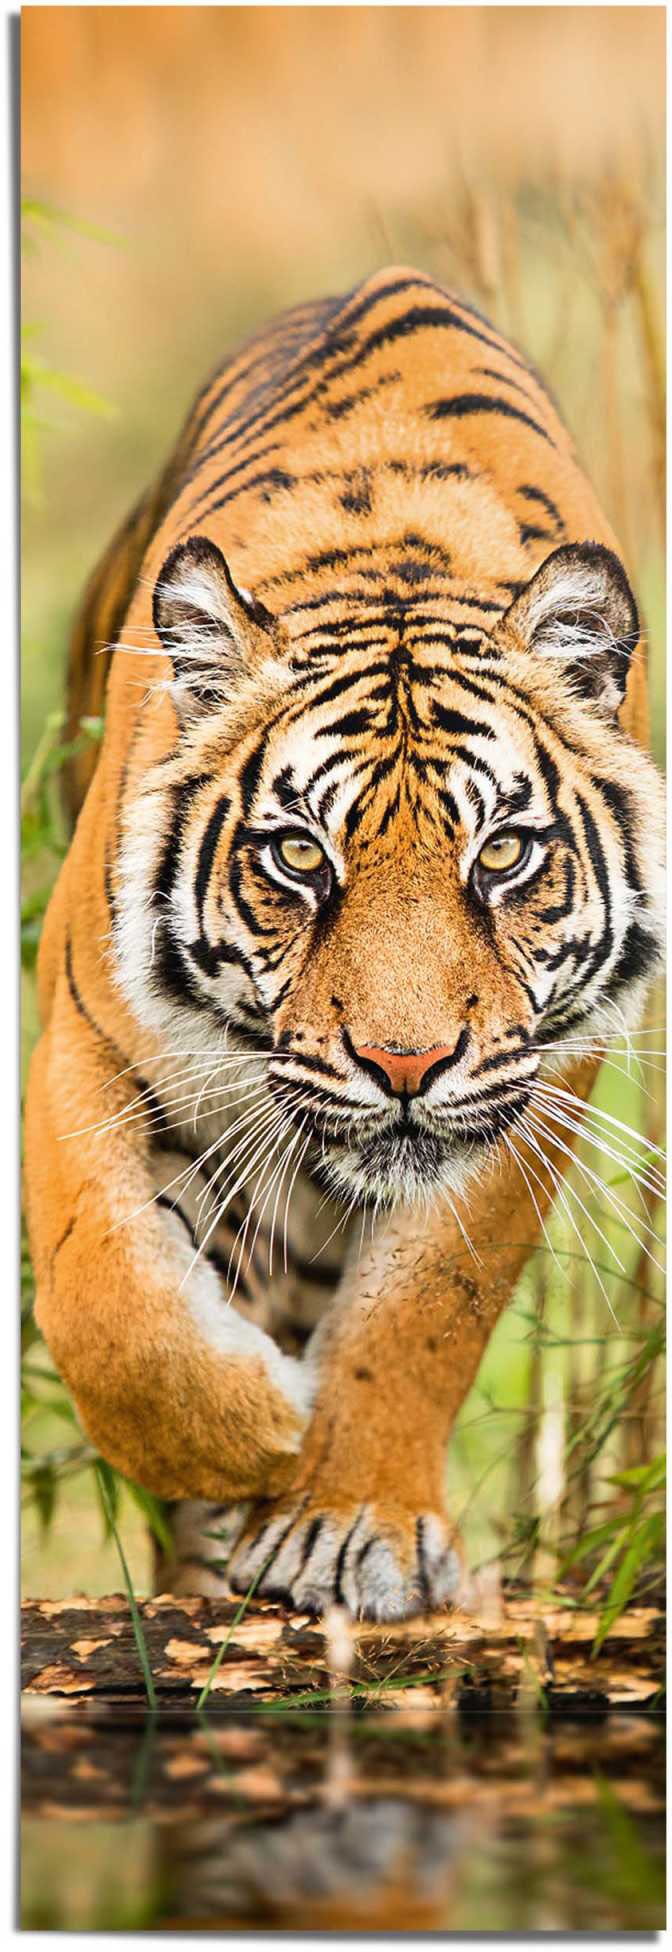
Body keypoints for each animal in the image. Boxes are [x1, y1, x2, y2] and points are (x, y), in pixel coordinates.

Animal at [25, 265, 664, 1621]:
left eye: (503, 853)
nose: (405, 1065)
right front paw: (245, 1432)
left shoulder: (532, 1083)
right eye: (300, 856)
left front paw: (340, 1515)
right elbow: (104, 1290)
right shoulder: (81, 1039)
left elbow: (423, 1310)